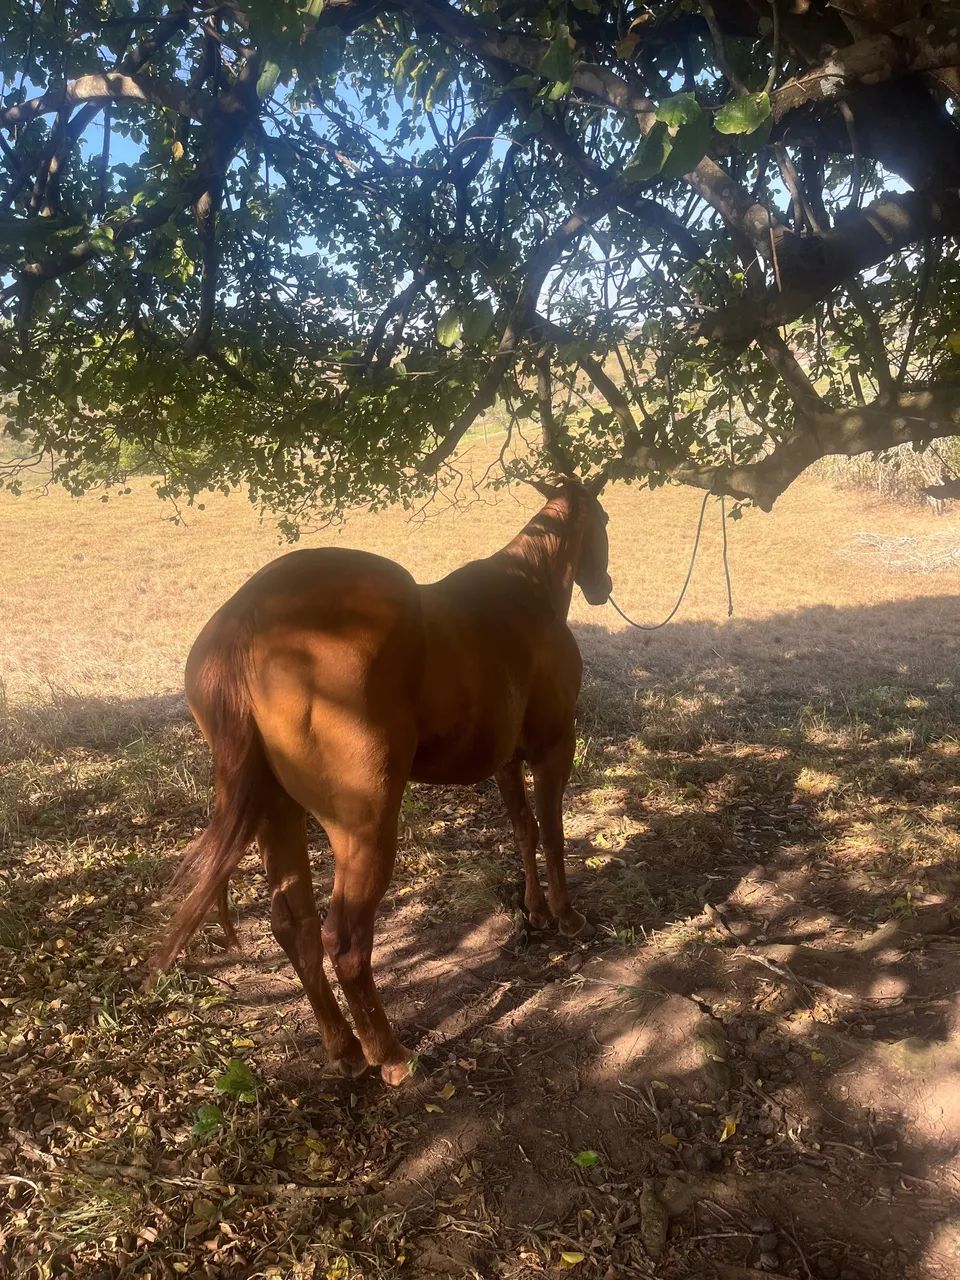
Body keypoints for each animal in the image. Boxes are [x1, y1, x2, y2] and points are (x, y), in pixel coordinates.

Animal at [152, 477, 612, 1085]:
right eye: (603, 521)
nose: (603, 586)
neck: (525, 591)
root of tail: (244, 627)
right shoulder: (553, 747)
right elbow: (554, 834)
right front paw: (565, 916)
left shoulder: (506, 762)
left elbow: (525, 832)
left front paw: (535, 911)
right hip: (365, 829)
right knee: (344, 939)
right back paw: (390, 1055)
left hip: (279, 815)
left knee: (295, 926)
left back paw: (345, 1048)